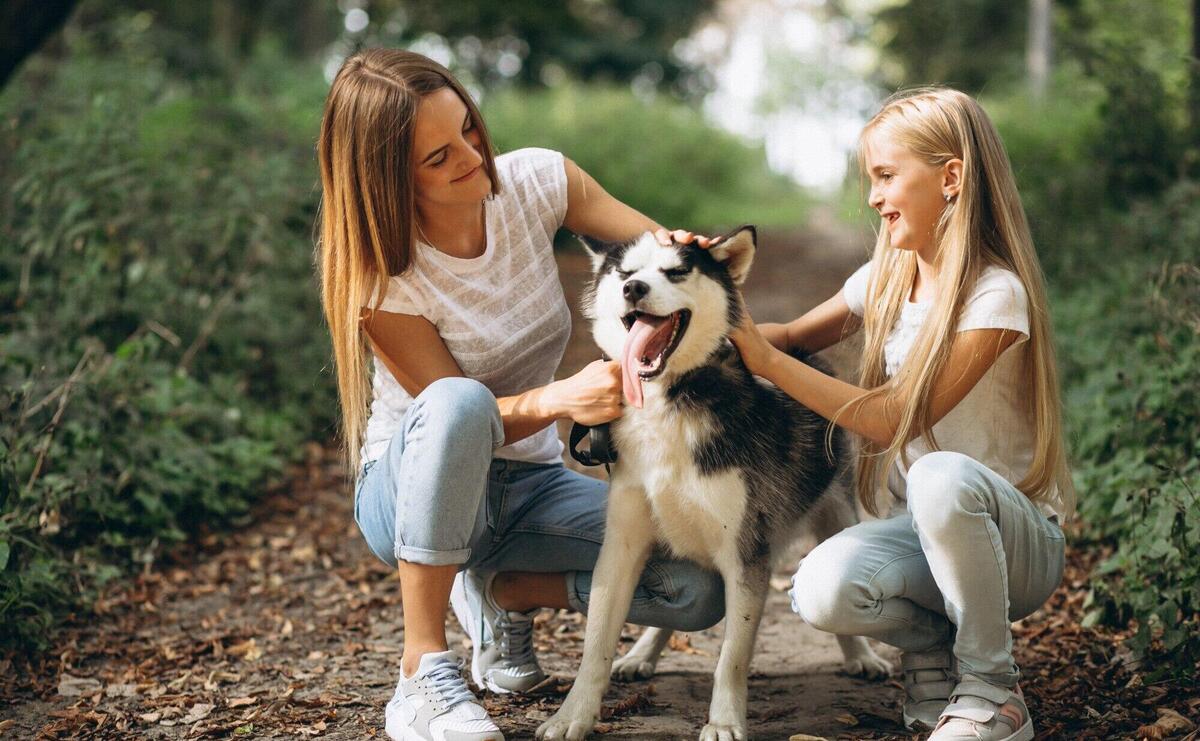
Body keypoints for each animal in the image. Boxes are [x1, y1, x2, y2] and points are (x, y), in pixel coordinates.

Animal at [540, 226, 888, 738]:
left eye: (676, 271)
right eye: (625, 273)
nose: (633, 289)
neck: (670, 401)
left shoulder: (744, 554)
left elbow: (732, 658)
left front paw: (724, 722)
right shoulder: (621, 546)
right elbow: (595, 646)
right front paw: (572, 715)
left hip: (835, 516)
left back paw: (862, 655)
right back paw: (641, 653)